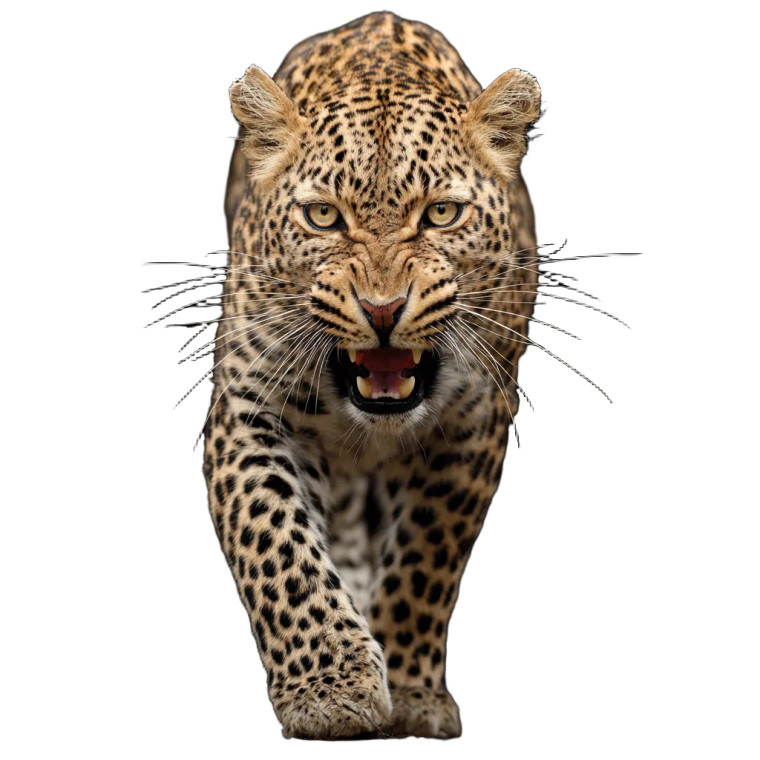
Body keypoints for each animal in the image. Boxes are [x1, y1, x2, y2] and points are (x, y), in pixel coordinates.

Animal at [202, 11, 542, 739]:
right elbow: (278, 544)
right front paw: (330, 689)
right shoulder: (248, 405)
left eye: (441, 213)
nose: (383, 308)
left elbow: (426, 559)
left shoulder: (477, 422)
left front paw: (410, 693)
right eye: (324, 216)